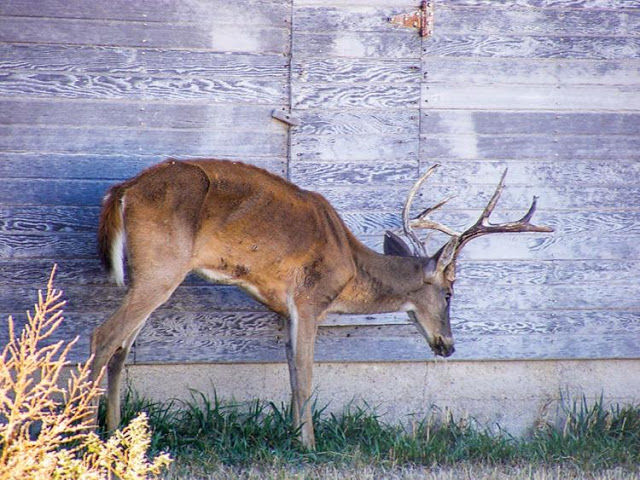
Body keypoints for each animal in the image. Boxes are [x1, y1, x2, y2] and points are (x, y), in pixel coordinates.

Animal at [92, 158, 552, 450]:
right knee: (104, 336)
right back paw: (85, 433)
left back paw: (117, 433)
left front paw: (293, 437)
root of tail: (122, 191)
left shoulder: (285, 311)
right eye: (451, 292)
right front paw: (310, 445)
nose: (449, 345)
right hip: (162, 266)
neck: (349, 265)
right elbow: (307, 377)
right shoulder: (310, 300)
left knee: (121, 348)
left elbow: (293, 373)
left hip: (150, 273)